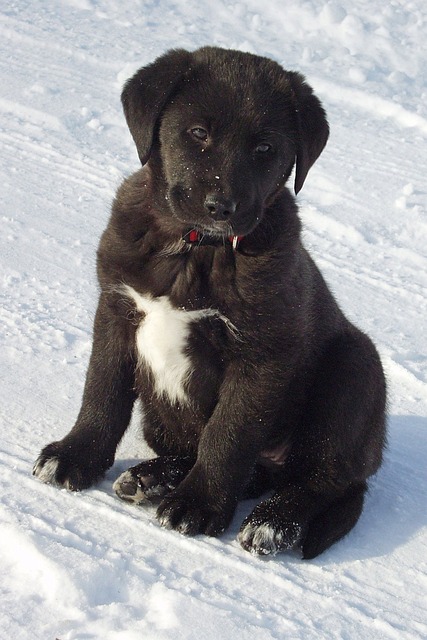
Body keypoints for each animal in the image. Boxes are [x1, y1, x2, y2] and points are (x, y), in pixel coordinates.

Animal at [34, 45, 388, 556]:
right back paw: (152, 478)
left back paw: (271, 522)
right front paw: (74, 455)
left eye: (265, 149)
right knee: (246, 468)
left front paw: (197, 505)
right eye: (198, 133)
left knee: (320, 478)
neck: (195, 248)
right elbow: (102, 392)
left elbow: (228, 435)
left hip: (356, 369)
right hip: (162, 422)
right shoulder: (116, 310)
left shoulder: (261, 353)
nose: (223, 207)